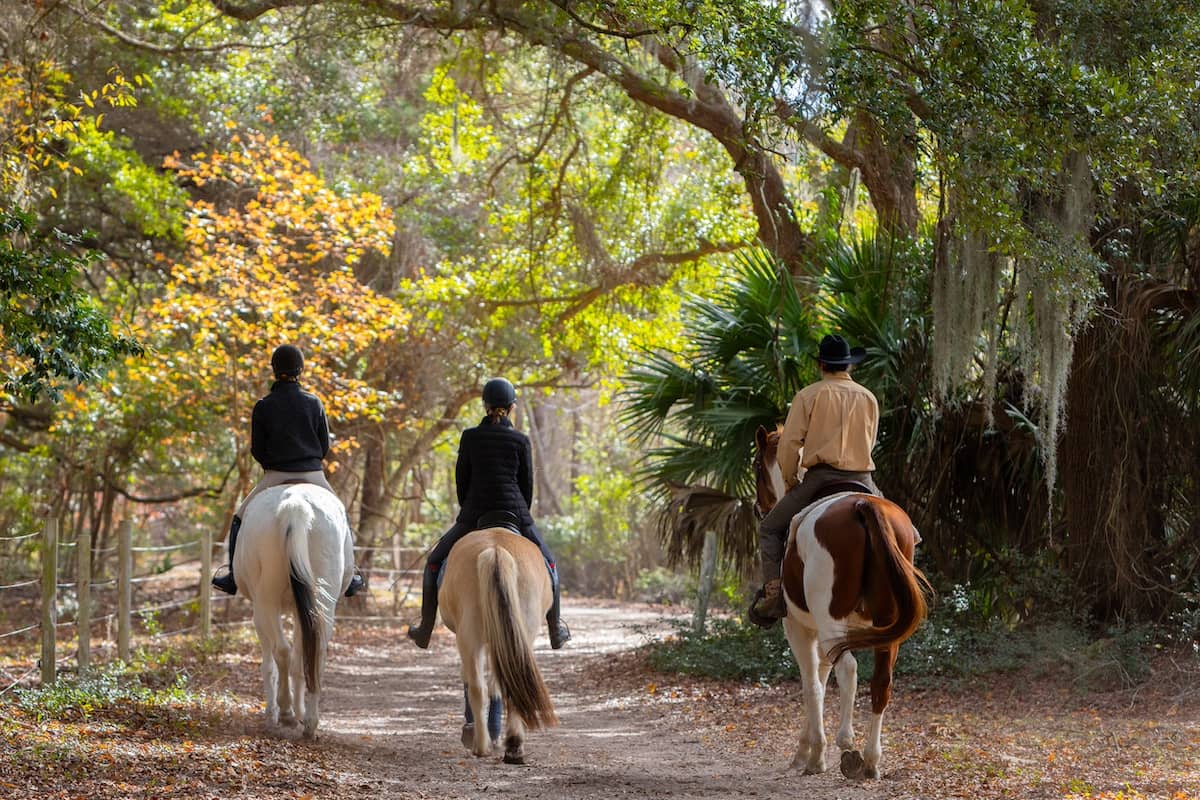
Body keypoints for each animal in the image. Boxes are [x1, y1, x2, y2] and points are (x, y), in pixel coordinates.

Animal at [230, 482, 350, 738]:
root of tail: (295, 505)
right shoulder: (301, 610)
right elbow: (300, 660)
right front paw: (300, 712)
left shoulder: (259, 614)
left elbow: (269, 665)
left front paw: (275, 712)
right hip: (323, 603)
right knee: (315, 653)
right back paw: (310, 723)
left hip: (266, 602)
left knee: (282, 651)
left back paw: (285, 712)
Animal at [439, 527, 559, 767]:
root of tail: (496, 551)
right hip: (520, 631)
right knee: (508, 682)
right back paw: (513, 747)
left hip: (469, 637)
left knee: (477, 687)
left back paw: (480, 744)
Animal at [753, 429, 931, 777]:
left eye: (756, 467)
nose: (758, 508)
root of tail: (863, 506)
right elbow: (822, 680)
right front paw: (809, 750)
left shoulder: (799, 628)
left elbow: (813, 684)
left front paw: (813, 756)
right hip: (885, 626)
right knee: (881, 681)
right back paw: (872, 760)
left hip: (830, 624)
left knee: (848, 670)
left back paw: (847, 744)